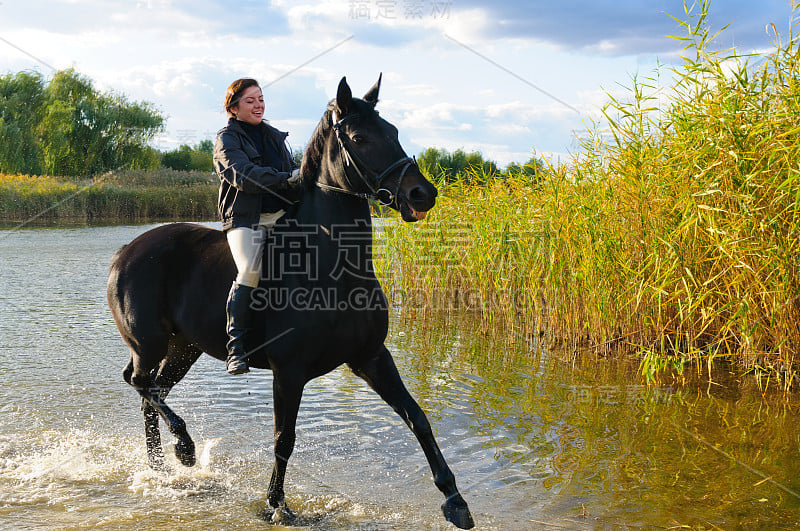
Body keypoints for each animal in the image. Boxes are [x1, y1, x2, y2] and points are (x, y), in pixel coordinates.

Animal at [108, 74, 476, 528]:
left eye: (393, 131)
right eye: (359, 137)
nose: (423, 194)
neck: (334, 266)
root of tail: (127, 250)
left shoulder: (371, 357)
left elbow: (418, 418)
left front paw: (455, 500)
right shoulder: (289, 372)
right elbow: (284, 438)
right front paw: (277, 504)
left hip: (183, 348)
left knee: (152, 391)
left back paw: (161, 466)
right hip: (149, 343)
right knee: (141, 383)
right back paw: (185, 448)